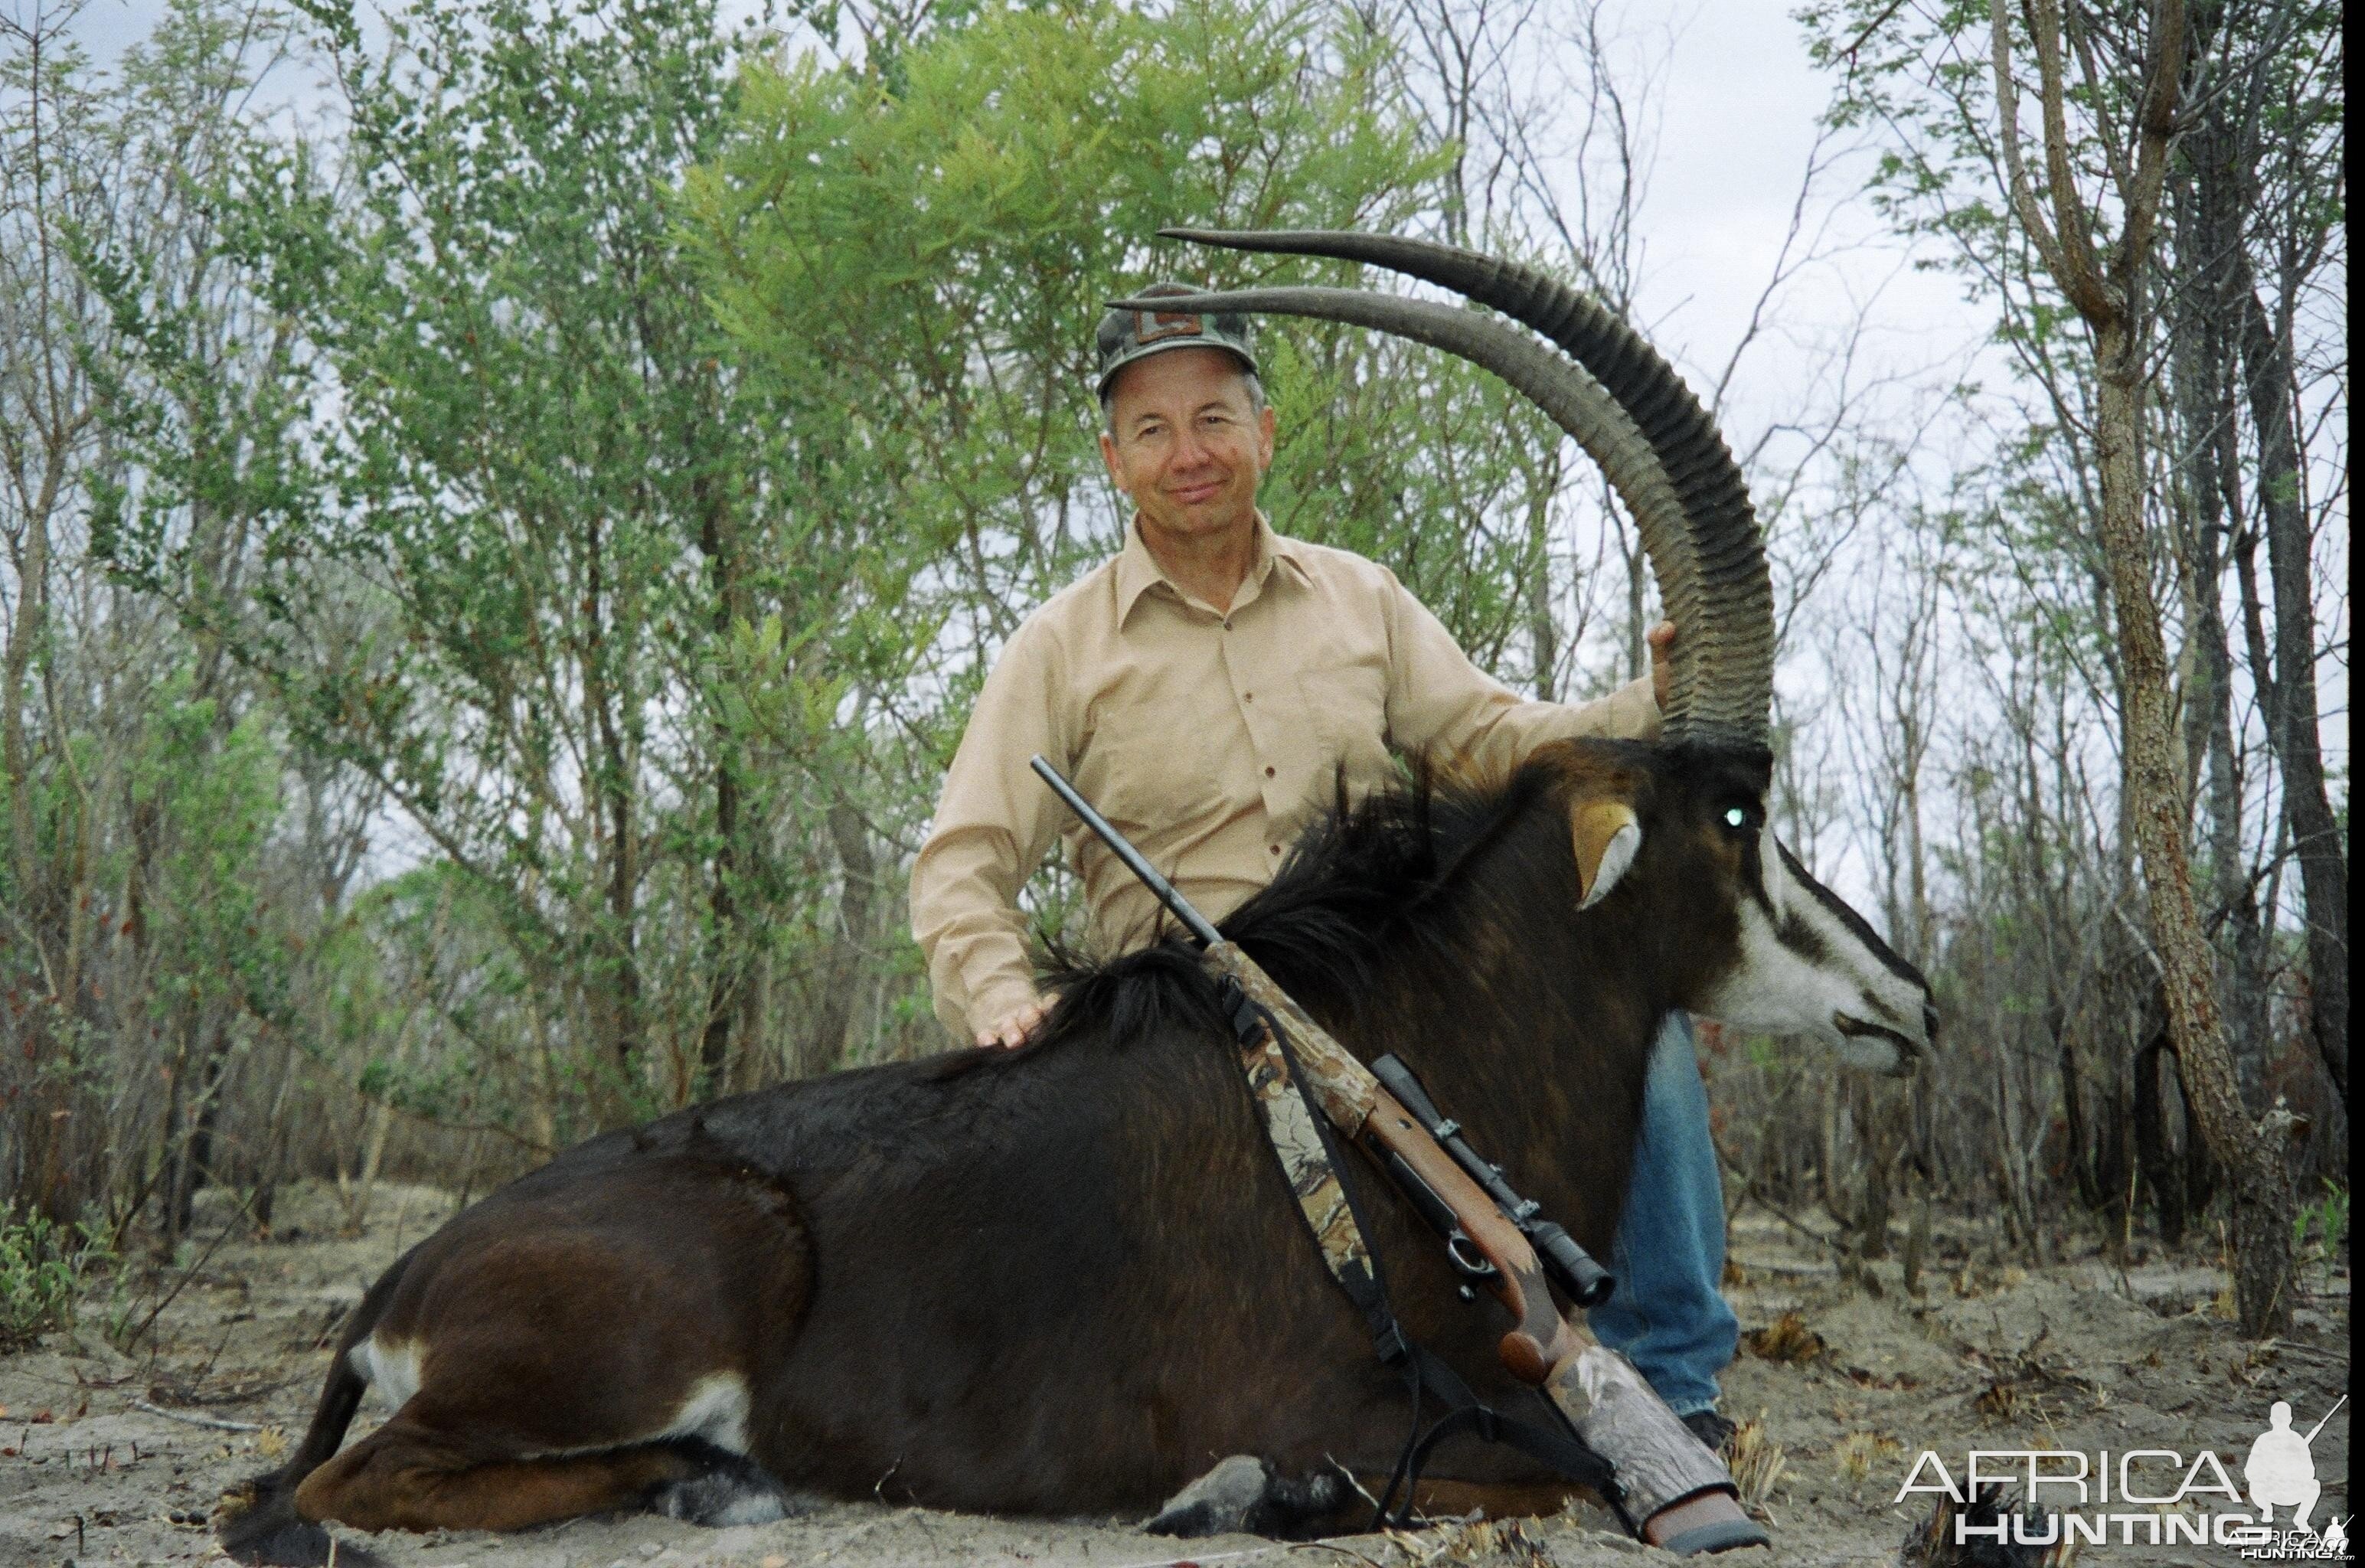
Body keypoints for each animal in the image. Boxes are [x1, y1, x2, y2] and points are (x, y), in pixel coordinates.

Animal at [222, 227, 1929, 1560]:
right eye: (1735, 809)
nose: (1905, 996)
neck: (1378, 1082)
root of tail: (398, 1278)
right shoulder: (1358, 1402)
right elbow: (1550, 1472)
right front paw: (1233, 1494)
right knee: (344, 1485)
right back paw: (712, 1481)